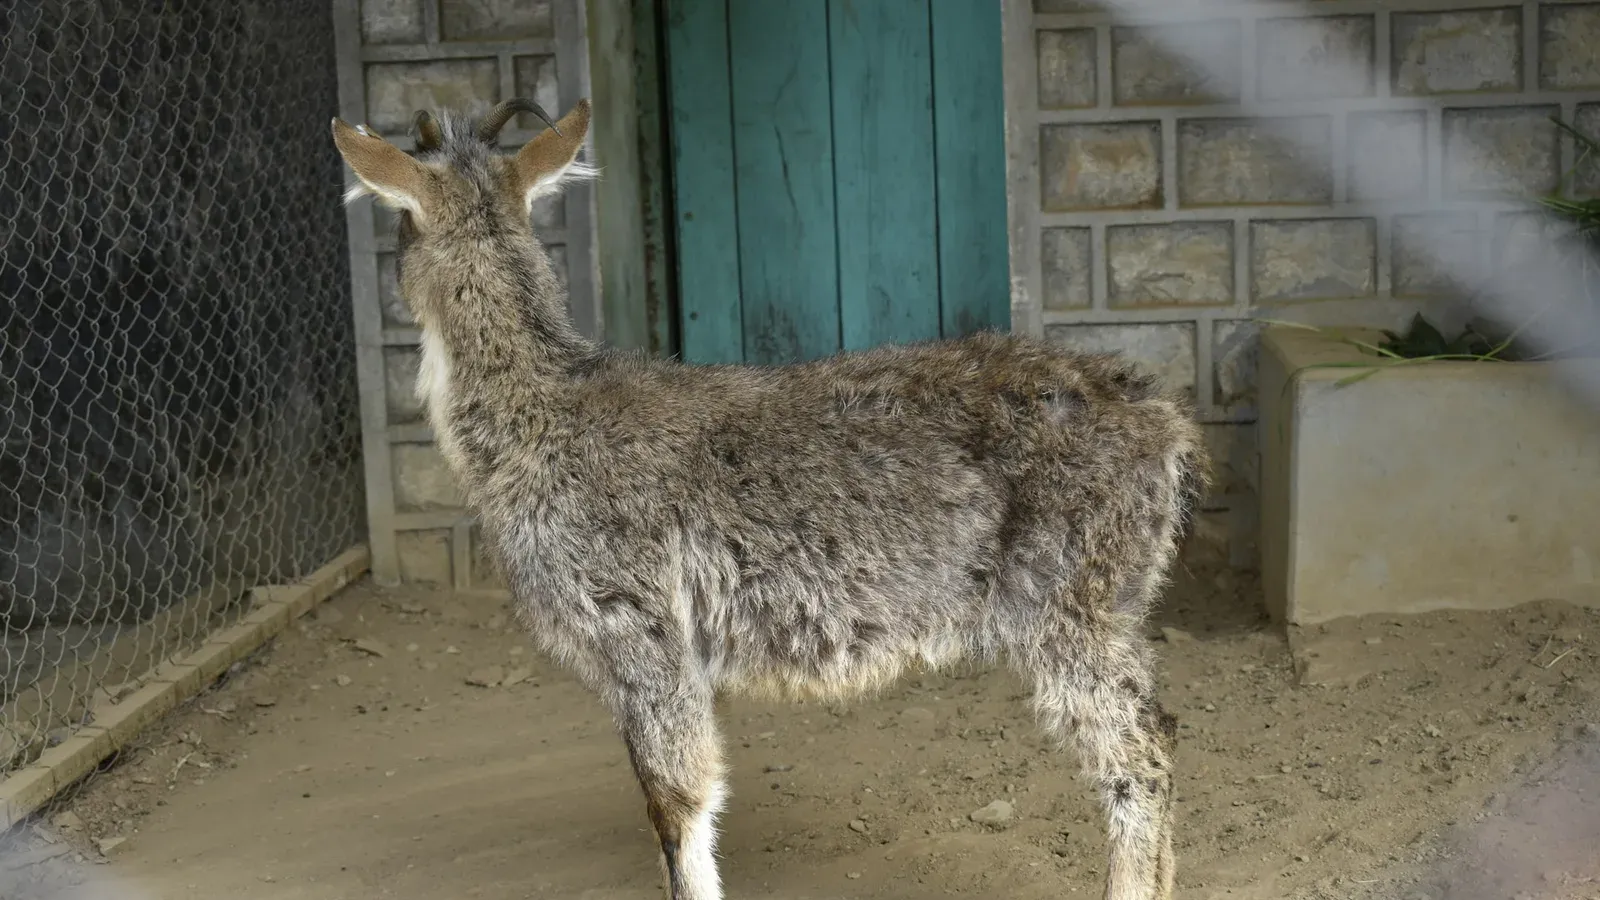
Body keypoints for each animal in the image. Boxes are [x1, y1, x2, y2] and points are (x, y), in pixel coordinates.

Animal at [331, 96, 1208, 900]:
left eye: (397, 223)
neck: (540, 416)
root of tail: (1163, 423)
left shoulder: (638, 628)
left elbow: (678, 802)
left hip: (1069, 605)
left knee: (1138, 756)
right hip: (1111, 607)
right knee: (1160, 728)